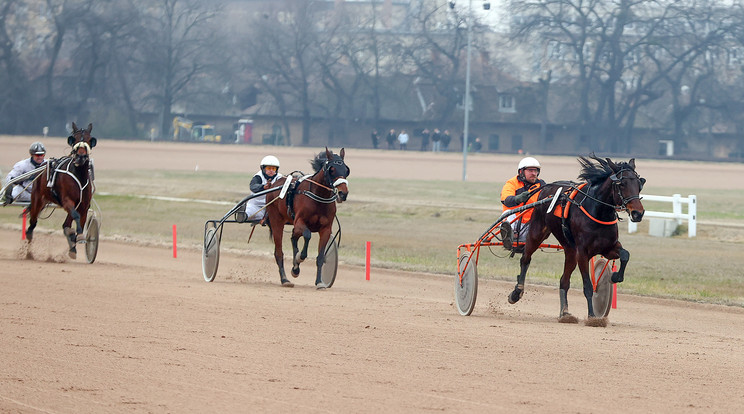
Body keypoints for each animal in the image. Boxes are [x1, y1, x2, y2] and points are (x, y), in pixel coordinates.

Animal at [24, 123, 96, 258]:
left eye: (89, 140)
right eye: (74, 139)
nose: (81, 156)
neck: (79, 175)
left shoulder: (84, 205)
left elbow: (79, 220)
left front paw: (77, 239)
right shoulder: (67, 200)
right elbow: (76, 216)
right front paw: (76, 236)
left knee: (66, 224)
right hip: (37, 199)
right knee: (32, 223)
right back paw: (28, 249)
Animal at [266, 148, 350, 288]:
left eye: (346, 170)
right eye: (332, 169)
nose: (343, 193)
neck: (318, 197)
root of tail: (273, 184)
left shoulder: (325, 228)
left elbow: (320, 256)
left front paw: (319, 282)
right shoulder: (300, 222)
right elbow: (307, 235)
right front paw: (299, 257)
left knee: (293, 237)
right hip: (276, 221)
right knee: (279, 252)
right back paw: (285, 279)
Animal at [508, 155, 644, 324]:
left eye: (639, 184)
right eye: (622, 184)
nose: (638, 213)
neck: (598, 211)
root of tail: (547, 188)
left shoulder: (608, 247)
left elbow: (625, 255)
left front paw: (615, 276)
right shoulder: (582, 253)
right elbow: (588, 286)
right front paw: (592, 316)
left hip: (570, 251)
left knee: (563, 281)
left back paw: (565, 313)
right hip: (537, 232)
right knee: (525, 259)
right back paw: (516, 292)